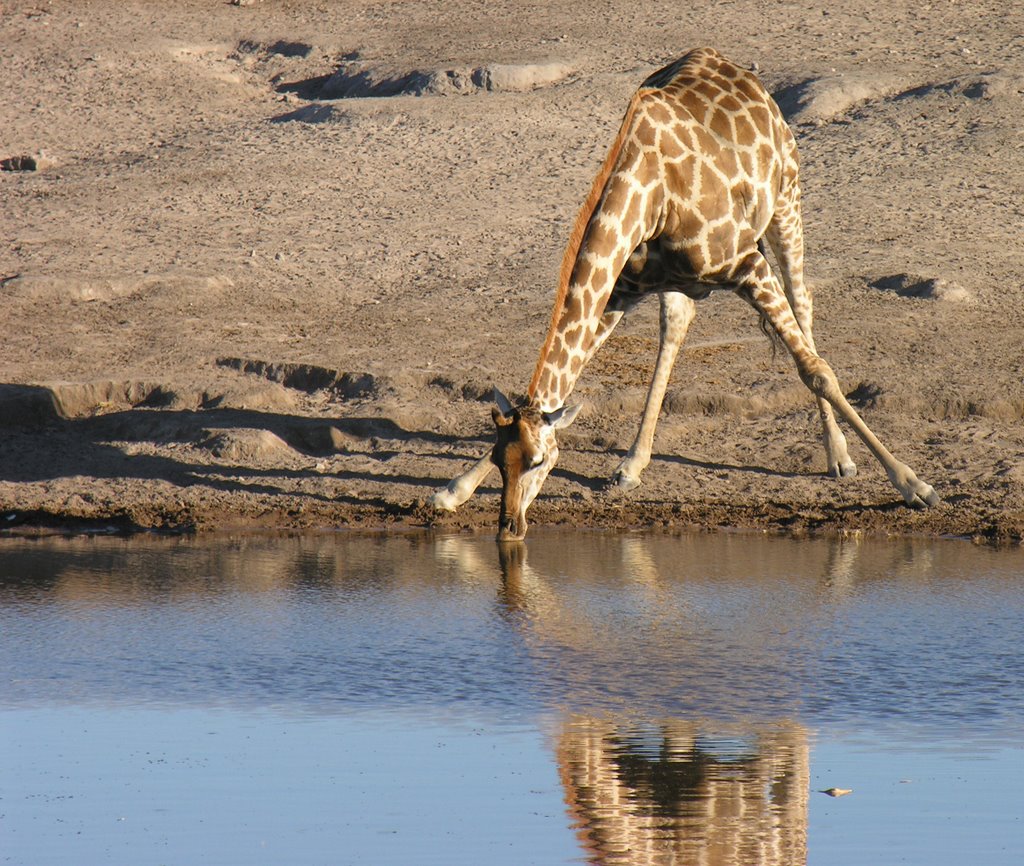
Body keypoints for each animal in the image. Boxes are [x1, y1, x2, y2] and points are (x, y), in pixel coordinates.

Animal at [428, 47, 937, 540]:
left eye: (538, 461)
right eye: (501, 461)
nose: (508, 528)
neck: (650, 196)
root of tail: (740, 70)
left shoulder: (746, 264)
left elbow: (816, 371)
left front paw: (912, 483)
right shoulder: (621, 290)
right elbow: (574, 371)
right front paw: (454, 489)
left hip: (786, 203)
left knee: (803, 304)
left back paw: (839, 457)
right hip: (682, 281)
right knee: (675, 329)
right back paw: (632, 463)